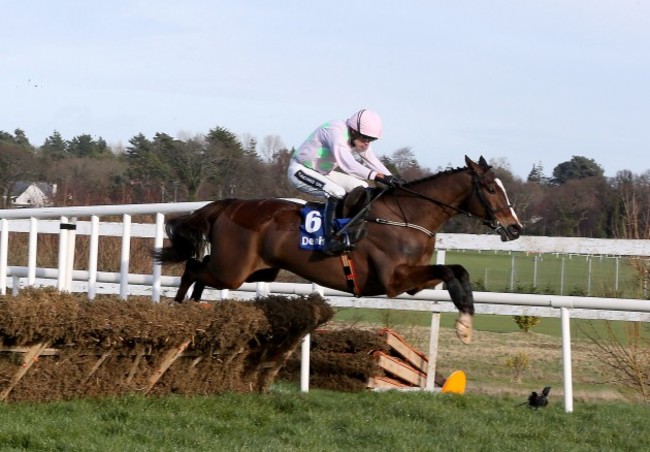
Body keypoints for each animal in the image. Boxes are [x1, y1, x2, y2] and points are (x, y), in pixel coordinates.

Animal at [153, 155, 520, 342]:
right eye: (490, 188)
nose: (515, 228)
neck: (407, 217)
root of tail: (227, 204)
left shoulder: (413, 283)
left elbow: (458, 270)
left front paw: (466, 320)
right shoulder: (394, 280)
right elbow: (449, 269)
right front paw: (463, 324)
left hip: (255, 270)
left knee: (199, 272)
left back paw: (196, 310)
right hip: (232, 270)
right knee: (192, 269)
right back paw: (178, 308)